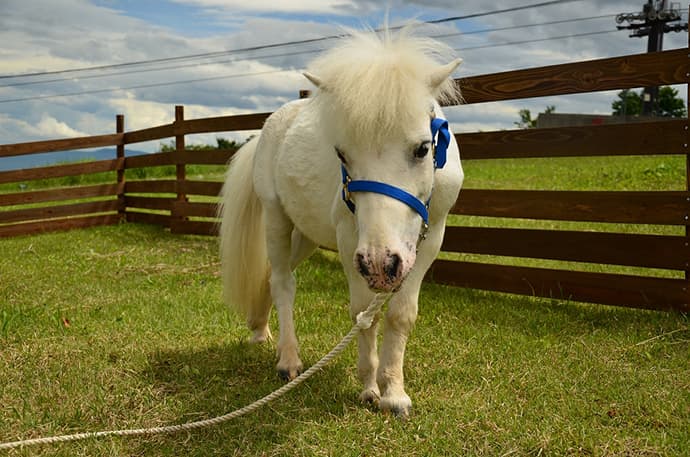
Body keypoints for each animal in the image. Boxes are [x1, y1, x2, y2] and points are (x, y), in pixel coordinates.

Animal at [219, 27, 464, 417]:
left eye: (423, 148)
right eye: (342, 154)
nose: (381, 263)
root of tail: (269, 126)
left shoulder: (431, 237)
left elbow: (401, 315)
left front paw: (394, 394)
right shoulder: (350, 242)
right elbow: (364, 313)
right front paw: (369, 388)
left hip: (306, 235)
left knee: (270, 277)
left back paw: (260, 329)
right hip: (276, 218)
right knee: (283, 282)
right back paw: (288, 359)